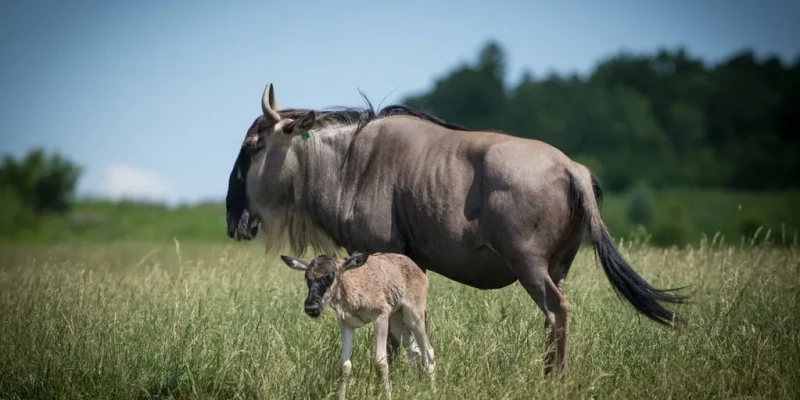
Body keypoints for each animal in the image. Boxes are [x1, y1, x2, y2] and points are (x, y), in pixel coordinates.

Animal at [280, 251, 435, 399]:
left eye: (330, 275)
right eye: (307, 277)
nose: (311, 307)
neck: (352, 284)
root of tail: (417, 268)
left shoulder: (380, 318)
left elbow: (380, 361)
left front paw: (388, 395)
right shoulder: (347, 324)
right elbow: (344, 365)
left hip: (414, 317)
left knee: (428, 351)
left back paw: (432, 390)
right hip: (397, 322)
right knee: (414, 351)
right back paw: (414, 386)